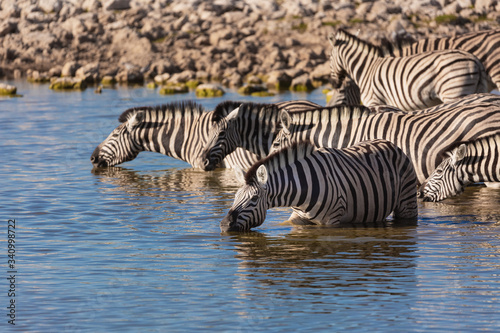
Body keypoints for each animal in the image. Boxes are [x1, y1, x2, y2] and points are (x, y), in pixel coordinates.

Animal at [221, 139, 420, 231]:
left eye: (254, 199)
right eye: (235, 197)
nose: (223, 225)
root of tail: (389, 143)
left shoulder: (332, 221)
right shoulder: (298, 218)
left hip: (407, 203)